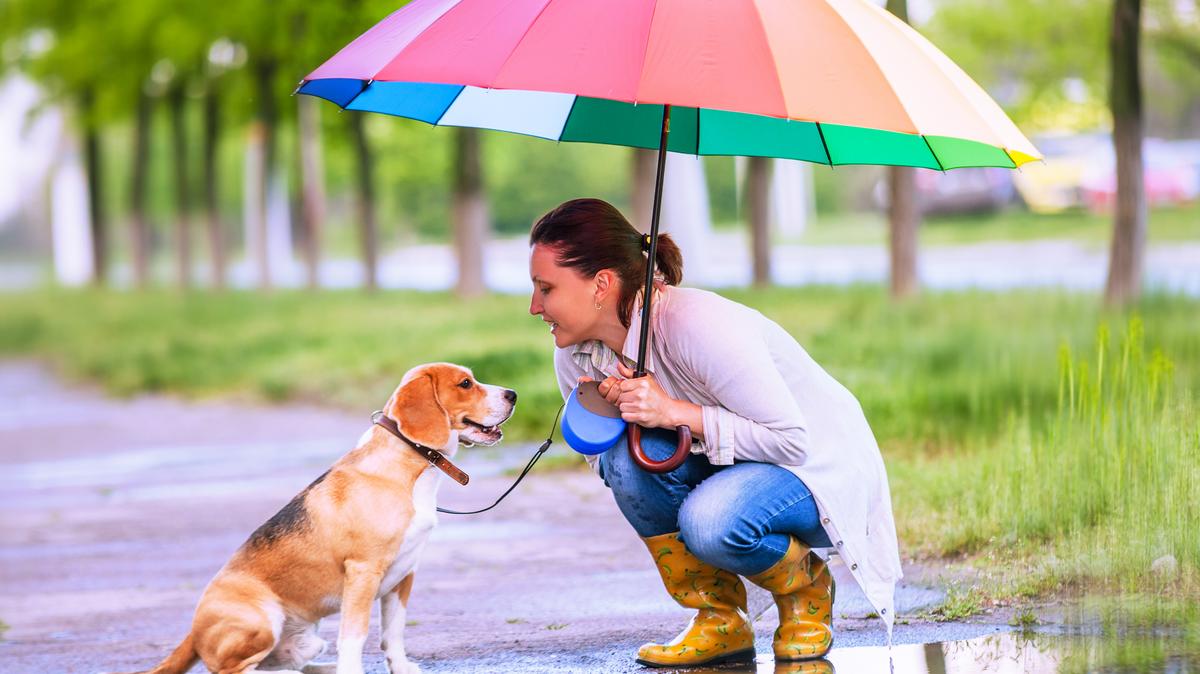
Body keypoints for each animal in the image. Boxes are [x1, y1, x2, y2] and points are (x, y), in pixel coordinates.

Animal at [125, 362, 516, 671]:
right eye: (465, 383)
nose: (512, 394)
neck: (406, 466)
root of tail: (193, 632)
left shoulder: (405, 575)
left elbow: (394, 633)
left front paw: (402, 667)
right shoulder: (363, 572)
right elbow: (355, 637)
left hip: (307, 641)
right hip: (262, 620)